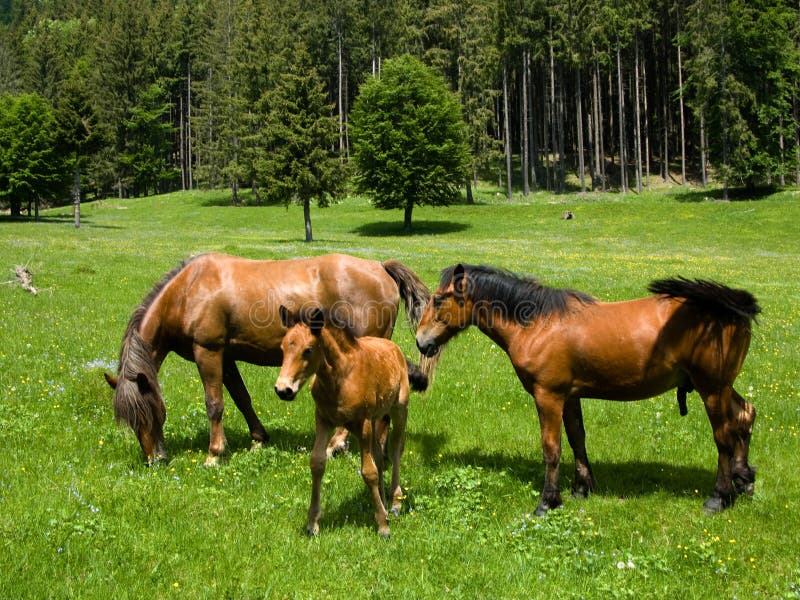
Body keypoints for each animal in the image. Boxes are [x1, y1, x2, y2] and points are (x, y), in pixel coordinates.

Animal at [106, 252, 434, 464]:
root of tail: (381, 267)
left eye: (146, 412)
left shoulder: (208, 351)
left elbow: (215, 404)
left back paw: (337, 445)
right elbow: (241, 398)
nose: (154, 459)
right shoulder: (227, 357)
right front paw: (259, 438)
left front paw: (214, 453)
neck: (189, 290)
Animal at [276, 308, 428, 536]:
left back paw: (395, 502)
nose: (283, 390)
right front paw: (313, 523)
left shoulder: (362, 423)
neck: (340, 378)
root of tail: (393, 347)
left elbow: (368, 472)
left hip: (399, 409)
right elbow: (317, 462)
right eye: (283, 348)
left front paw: (383, 525)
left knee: (395, 449)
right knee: (378, 454)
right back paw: (384, 501)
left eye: (308, 350)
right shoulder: (323, 420)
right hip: (375, 418)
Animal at [416, 266, 760, 516]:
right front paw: (582, 487)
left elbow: (551, 449)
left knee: (724, 437)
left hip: (712, 390)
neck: (538, 322)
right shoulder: (570, 397)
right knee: (745, 415)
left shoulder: (549, 396)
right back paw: (743, 479)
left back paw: (719, 497)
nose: (421, 341)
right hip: (722, 387)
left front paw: (548, 501)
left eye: (439, 299)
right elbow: (576, 439)